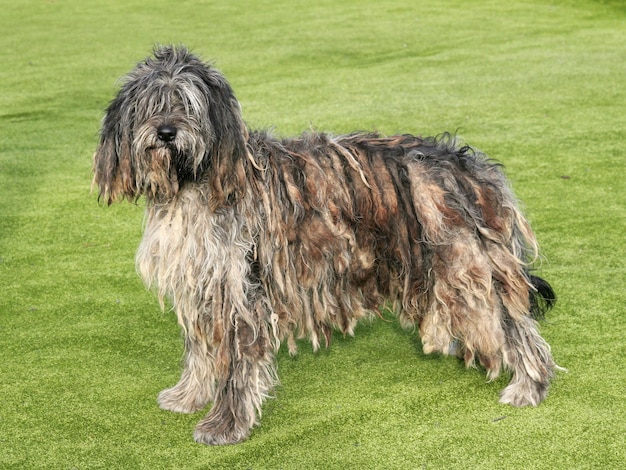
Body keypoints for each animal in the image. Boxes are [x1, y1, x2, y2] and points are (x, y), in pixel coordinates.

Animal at [91, 46, 556, 446]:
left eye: (187, 103)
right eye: (149, 105)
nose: (166, 132)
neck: (196, 182)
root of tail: (468, 164)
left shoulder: (241, 288)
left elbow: (238, 365)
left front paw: (225, 425)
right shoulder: (203, 285)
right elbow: (202, 352)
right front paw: (189, 396)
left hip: (463, 264)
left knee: (514, 325)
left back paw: (529, 385)